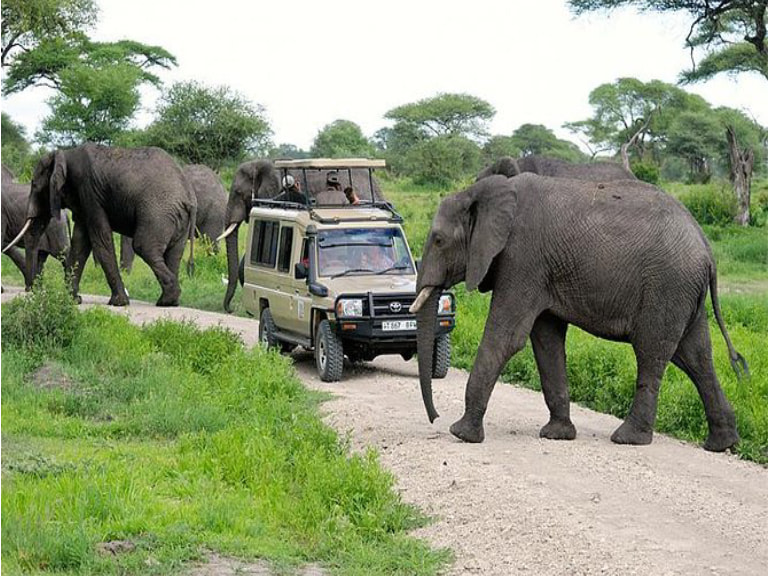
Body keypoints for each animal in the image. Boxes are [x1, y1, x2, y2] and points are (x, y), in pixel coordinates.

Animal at [5, 144, 197, 307]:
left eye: (35, 185)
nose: (32, 291)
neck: (65, 153)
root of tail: (188, 195)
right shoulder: (83, 197)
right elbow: (81, 242)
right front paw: (71, 300)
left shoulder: (88, 191)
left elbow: (99, 238)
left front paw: (118, 303)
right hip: (177, 219)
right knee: (174, 253)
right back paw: (169, 301)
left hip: (157, 212)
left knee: (144, 247)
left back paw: (167, 299)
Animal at [411, 174, 746, 452]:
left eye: (438, 240)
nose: (435, 418)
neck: (484, 191)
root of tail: (707, 248)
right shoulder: (541, 271)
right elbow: (546, 342)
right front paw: (557, 435)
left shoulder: (522, 259)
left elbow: (506, 338)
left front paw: (461, 433)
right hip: (684, 293)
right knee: (695, 357)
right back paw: (722, 444)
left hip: (667, 287)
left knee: (652, 352)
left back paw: (628, 438)